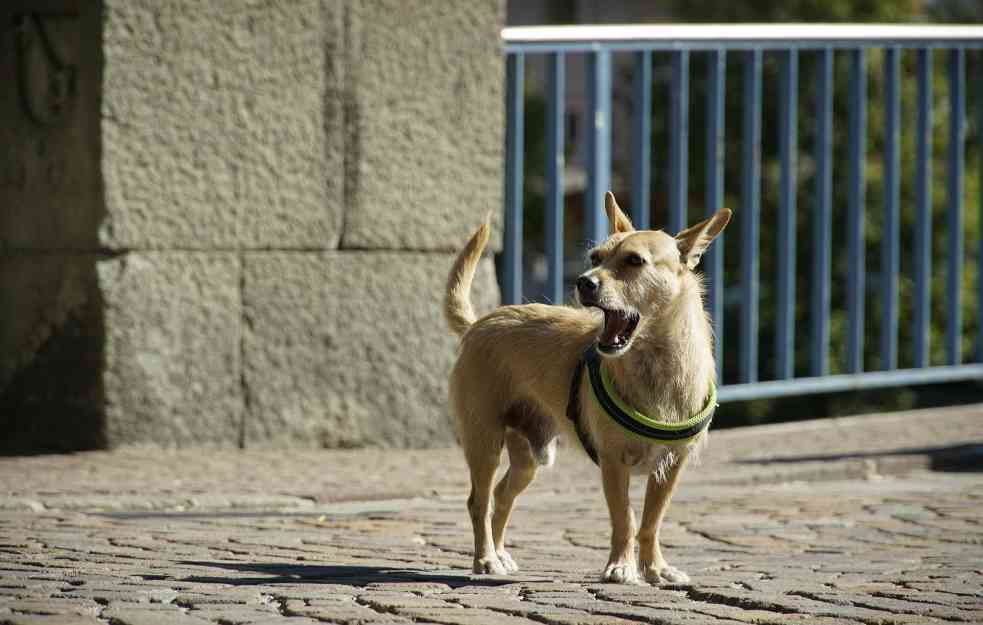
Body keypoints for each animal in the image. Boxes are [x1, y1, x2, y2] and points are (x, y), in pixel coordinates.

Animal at [446, 191, 732, 584]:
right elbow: (625, 519)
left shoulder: (672, 466)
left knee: (502, 497)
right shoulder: (613, 463)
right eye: (595, 259)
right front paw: (621, 567)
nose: (584, 281)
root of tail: (479, 324)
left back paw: (500, 554)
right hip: (485, 443)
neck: (655, 363)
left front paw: (655, 568)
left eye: (634, 261)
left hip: (530, 459)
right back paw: (486, 559)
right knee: (480, 501)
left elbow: (651, 522)